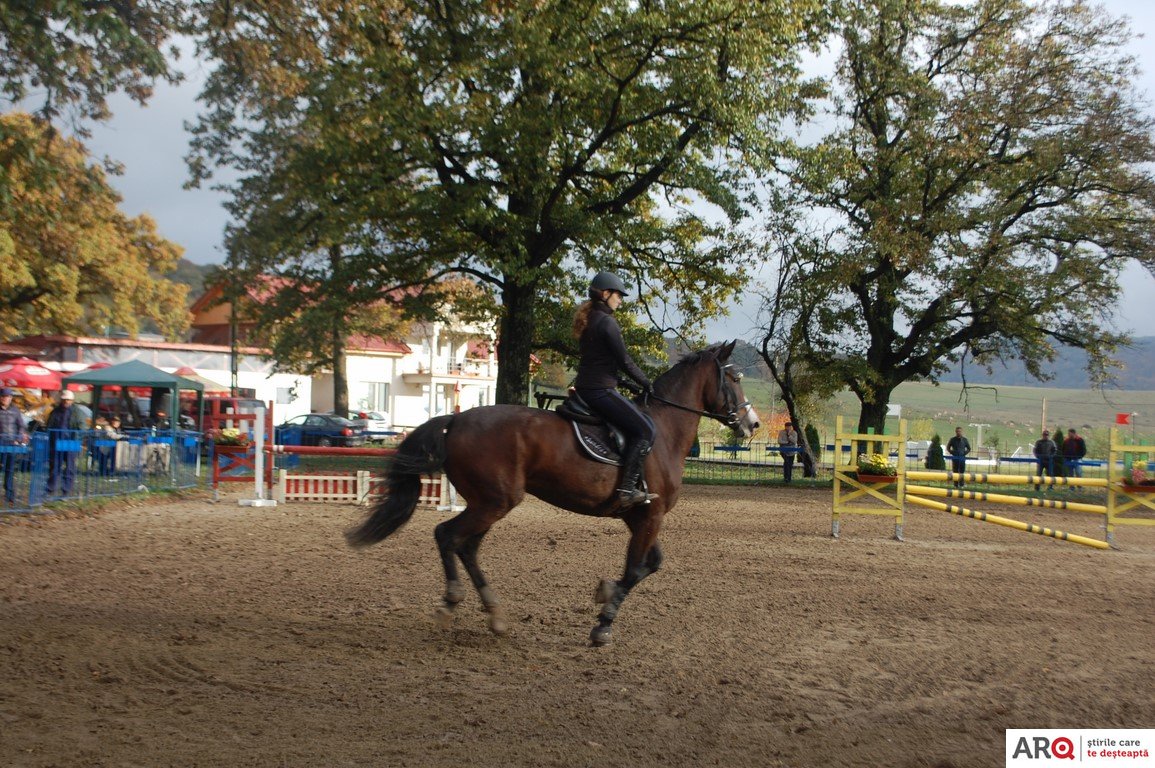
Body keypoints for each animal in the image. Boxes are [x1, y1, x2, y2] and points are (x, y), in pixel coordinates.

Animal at [341, 339, 757, 642]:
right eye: (735, 379)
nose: (751, 423)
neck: (665, 429)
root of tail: (456, 419)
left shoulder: (639, 516)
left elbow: (648, 565)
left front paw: (604, 592)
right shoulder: (650, 516)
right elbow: (636, 567)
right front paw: (604, 622)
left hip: (489, 502)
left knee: (466, 546)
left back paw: (494, 614)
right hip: (495, 501)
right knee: (448, 536)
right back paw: (451, 602)